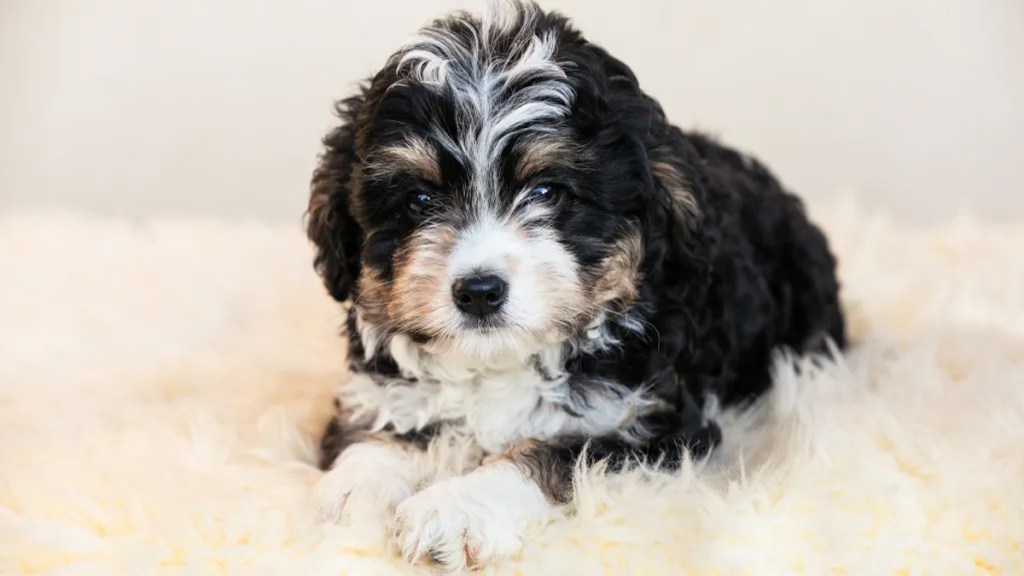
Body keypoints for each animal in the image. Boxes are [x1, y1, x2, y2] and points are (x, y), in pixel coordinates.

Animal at [305, 1, 847, 569]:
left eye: (548, 191)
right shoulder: (380, 385)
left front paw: (457, 509)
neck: (502, 362)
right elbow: (378, 424)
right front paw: (354, 488)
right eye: (419, 200)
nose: (479, 292)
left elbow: (559, 454)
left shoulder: (648, 424)